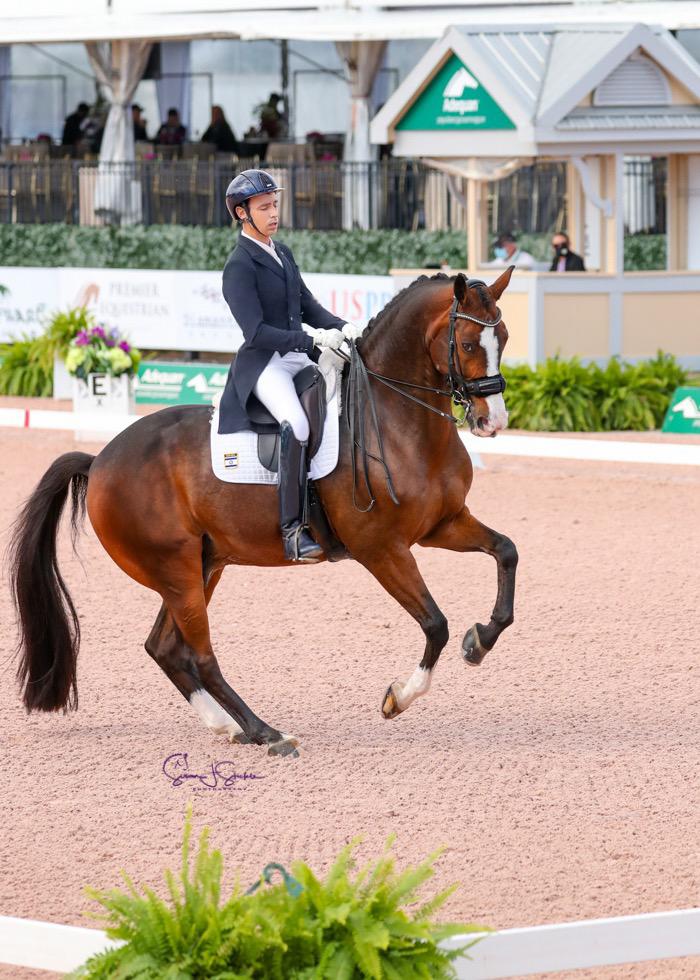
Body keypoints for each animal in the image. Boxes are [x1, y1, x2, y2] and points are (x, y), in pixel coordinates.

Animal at [9, 268, 518, 758]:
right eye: (468, 343)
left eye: (505, 337)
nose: (492, 422)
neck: (399, 422)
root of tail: (99, 461)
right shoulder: (380, 548)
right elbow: (435, 623)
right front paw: (400, 696)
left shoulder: (441, 525)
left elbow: (506, 552)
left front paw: (480, 640)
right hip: (175, 570)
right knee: (200, 656)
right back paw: (267, 733)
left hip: (200, 566)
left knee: (165, 648)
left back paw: (227, 727)